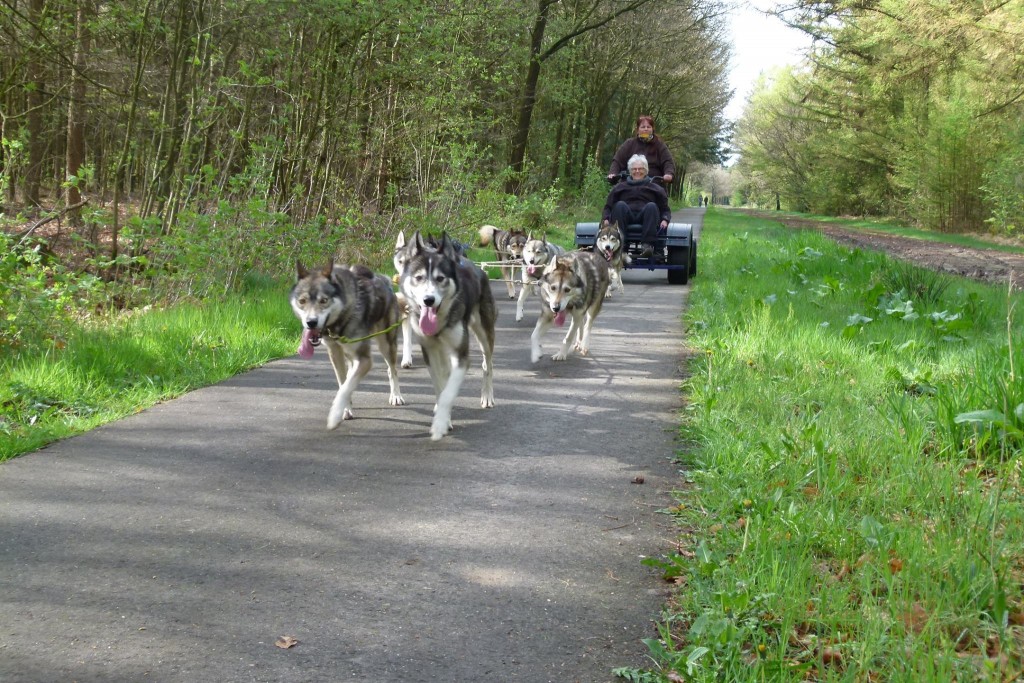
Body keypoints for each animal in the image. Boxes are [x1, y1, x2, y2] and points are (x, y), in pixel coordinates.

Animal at [290, 264, 405, 430]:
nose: (311, 322)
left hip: (386, 344)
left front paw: (335, 414)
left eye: (324, 300)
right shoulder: (335, 352)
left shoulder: (365, 359)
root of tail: (384, 279)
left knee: (392, 370)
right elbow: (343, 384)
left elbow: (345, 387)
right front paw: (345, 408)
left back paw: (396, 396)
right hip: (350, 353)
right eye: (302, 301)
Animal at [397, 232, 497, 440]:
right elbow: (440, 384)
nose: (428, 300)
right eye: (419, 277)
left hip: (484, 334)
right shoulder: (430, 351)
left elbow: (449, 391)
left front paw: (441, 422)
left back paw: (487, 396)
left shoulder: (461, 354)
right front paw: (443, 414)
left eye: (440, 278)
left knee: (487, 365)